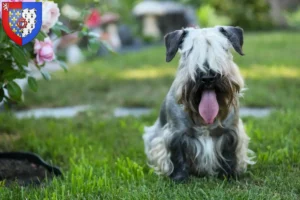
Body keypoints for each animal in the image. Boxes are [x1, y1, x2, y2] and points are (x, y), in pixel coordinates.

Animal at [142, 25, 254, 182]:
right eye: (189, 51)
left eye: (223, 48)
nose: (208, 77)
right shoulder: (176, 134)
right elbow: (177, 157)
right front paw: (179, 178)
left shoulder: (230, 132)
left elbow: (229, 156)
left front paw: (229, 175)